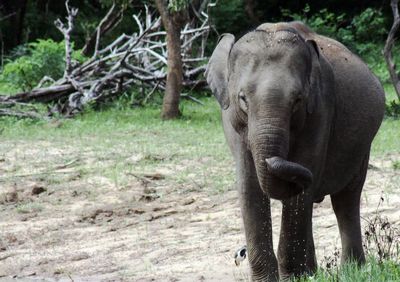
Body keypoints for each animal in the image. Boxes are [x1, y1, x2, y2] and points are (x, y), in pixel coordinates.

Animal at [206, 20, 384, 280]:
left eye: (298, 100)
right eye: (242, 99)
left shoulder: (320, 109)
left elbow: (301, 182)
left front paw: (294, 278)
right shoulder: (233, 124)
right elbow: (249, 187)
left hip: (363, 147)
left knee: (345, 200)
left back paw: (351, 270)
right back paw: (315, 271)